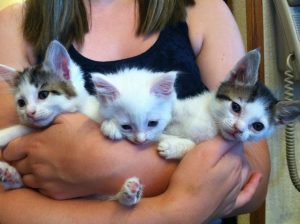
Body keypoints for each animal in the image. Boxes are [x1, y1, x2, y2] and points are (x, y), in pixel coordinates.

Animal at [0, 39, 142, 205]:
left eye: (43, 94)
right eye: (21, 103)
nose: (30, 113)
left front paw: (112, 126)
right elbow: (27, 127)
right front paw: (5, 134)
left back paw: (130, 192)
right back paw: (9, 175)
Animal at [157, 48, 300, 159]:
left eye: (258, 126)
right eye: (235, 107)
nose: (238, 129)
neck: (212, 121)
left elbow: (193, 146)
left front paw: (173, 146)